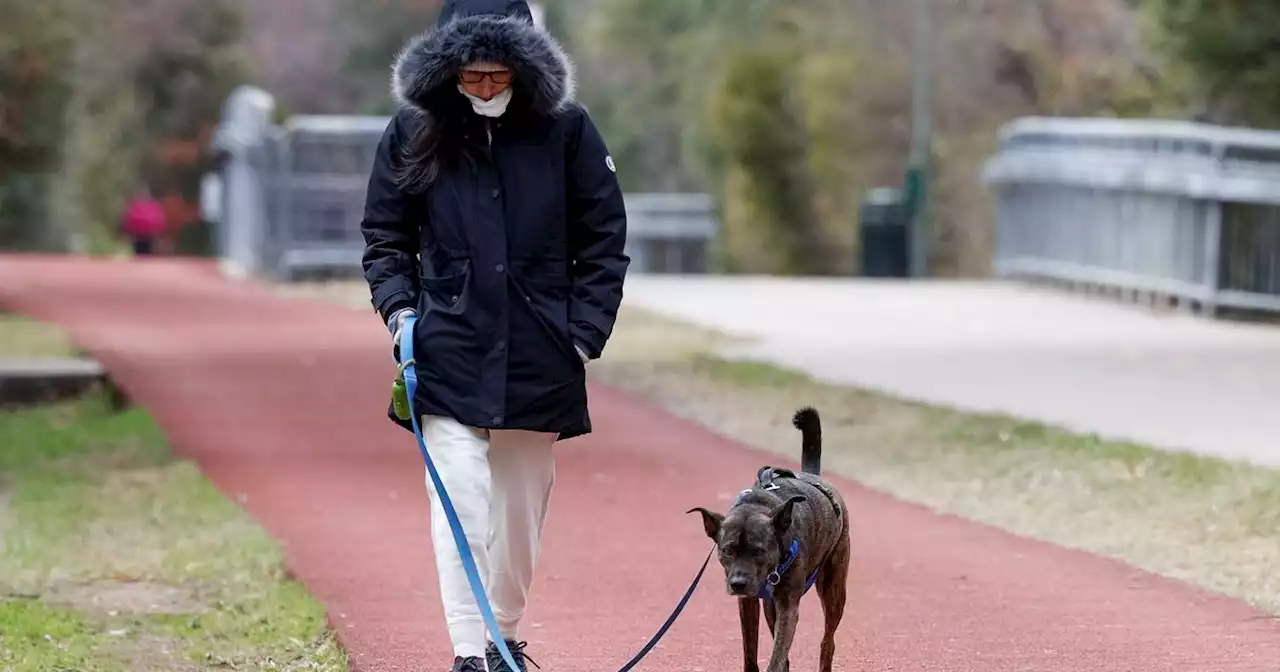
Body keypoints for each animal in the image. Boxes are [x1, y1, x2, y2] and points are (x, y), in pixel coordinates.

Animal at [691, 404, 849, 670]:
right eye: (727, 550)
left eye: (758, 550)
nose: (737, 583)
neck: (759, 504)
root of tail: (812, 475)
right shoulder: (748, 602)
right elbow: (750, 651)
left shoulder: (788, 607)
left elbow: (777, 656)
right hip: (769, 605)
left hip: (833, 589)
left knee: (828, 641)